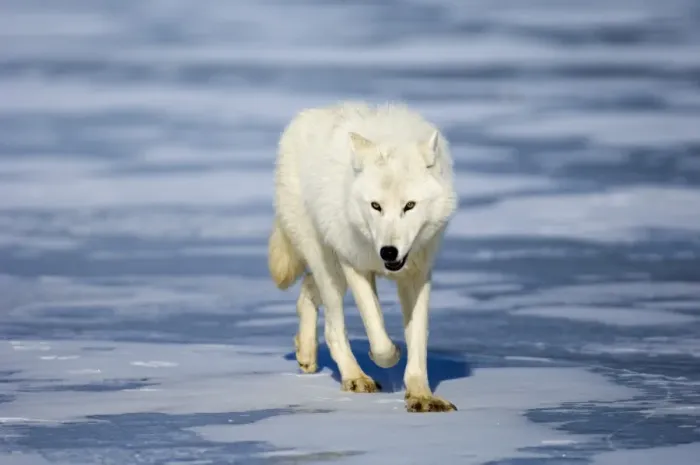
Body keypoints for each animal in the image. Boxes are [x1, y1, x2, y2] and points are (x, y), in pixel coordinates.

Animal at [268, 101, 458, 412]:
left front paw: (421, 395)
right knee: (333, 328)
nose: (388, 251)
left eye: (410, 205)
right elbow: (379, 338)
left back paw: (306, 354)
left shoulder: (418, 275)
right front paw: (390, 355)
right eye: (375, 206)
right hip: (328, 264)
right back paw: (355, 377)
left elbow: (418, 341)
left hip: (331, 269)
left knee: (307, 288)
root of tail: (305, 116)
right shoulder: (355, 265)